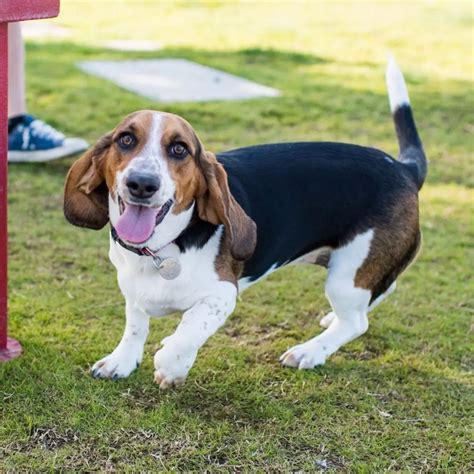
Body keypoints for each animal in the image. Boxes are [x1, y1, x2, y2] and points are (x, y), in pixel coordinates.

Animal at [62, 56, 426, 388]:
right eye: (125, 140)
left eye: (180, 149)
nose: (141, 183)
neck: (161, 249)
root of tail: (403, 168)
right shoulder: (132, 291)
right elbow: (135, 325)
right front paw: (121, 361)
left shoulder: (223, 294)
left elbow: (189, 328)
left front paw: (172, 365)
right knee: (379, 294)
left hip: (346, 277)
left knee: (356, 323)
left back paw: (309, 352)